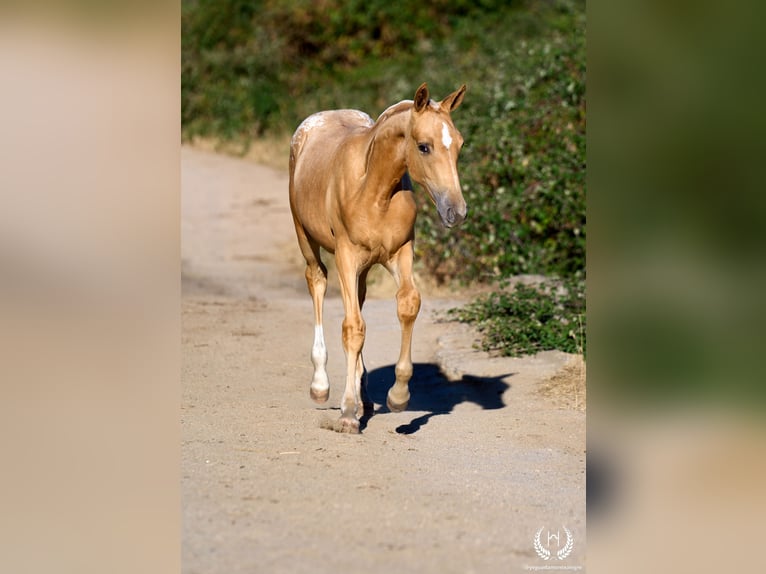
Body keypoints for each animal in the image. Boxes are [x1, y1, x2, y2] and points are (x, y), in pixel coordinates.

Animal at [288, 82, 467, 433]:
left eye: (459, 144)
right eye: (424, 147)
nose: (456, 211)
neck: (373, 190)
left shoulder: (401, 252)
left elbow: (408, 304)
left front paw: (397, 397)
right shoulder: (346, 256)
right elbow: (352, 328)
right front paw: (346, 413)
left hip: (364, 267)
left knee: (358, 299)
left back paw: (366, 397)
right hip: (307, 239)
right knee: (317, 282)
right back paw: (321, 386)